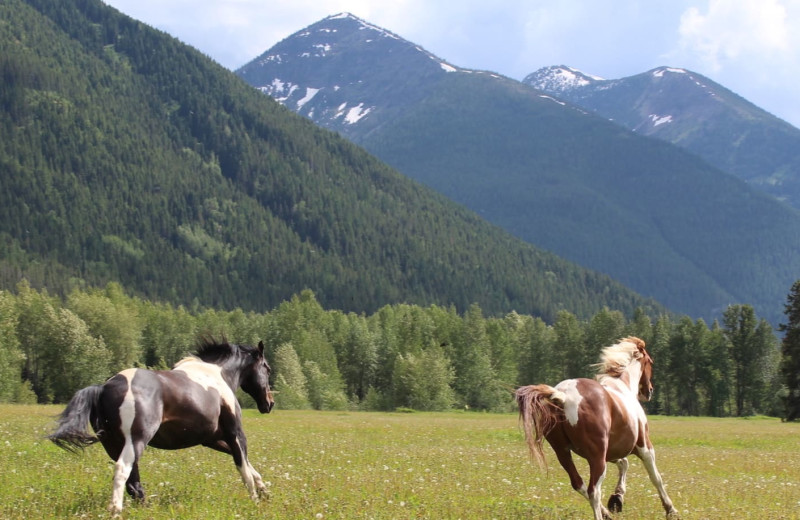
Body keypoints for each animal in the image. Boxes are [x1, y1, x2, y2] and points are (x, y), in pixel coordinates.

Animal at [50, 340, 276, 512]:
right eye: (267, 368)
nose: (269, 403)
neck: (218, 375)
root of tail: (104, 387)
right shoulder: (235, 434)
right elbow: (243, 468)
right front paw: (255, 500)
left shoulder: (212, 439)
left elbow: (248, 466)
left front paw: (264, 491)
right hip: (136, 439)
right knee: (123, 470)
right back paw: (115, 510)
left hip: (113, 444)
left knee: (133, 481)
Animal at [516, 336, 680, 516]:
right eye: (650, 361)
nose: (649, 390)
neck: (622, 387)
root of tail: (564, 397)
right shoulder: (644, 446)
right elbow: (656, 477)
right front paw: (671, 510)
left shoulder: (613, 452)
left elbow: (624, 464)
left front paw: (617, 499)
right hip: (597, 457)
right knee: (593, 491)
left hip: (563, 452)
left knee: (579, 484)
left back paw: (606, 513)